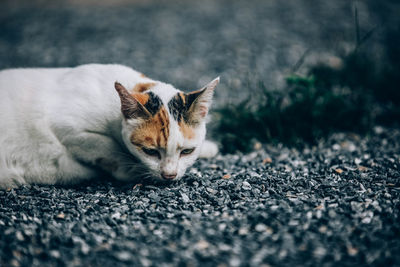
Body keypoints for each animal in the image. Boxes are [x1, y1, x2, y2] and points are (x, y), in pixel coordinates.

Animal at [0, 64, 219, 191]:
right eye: (150, 151)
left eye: (187, 151)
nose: (169, 175)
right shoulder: (67, 127)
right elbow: (107, 146)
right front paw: (131, 169)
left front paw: (209, 147)